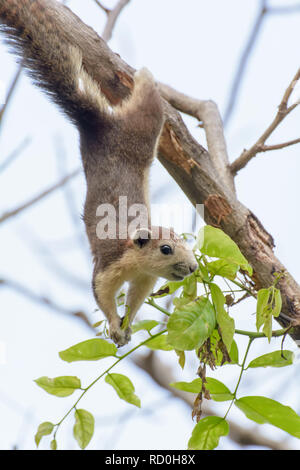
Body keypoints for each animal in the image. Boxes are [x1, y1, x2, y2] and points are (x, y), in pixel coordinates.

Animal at [0, 0, 198, 346]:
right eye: (166, 248)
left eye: (185, 243)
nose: (192, 267)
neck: (134, 260)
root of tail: (97, 124)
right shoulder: (107, 266)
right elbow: (102, 296)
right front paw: (116, 328)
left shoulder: (144, 279)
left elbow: (135, 299)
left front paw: (127, 323)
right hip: (143, 128)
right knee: (147, 100)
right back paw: (143, 75)